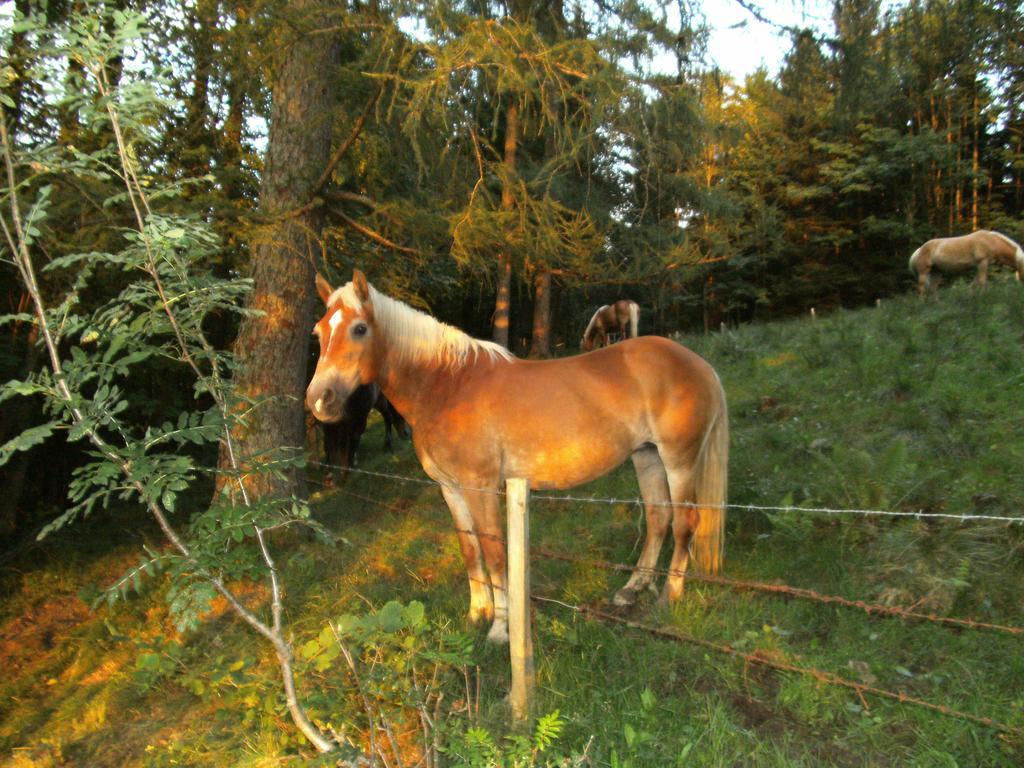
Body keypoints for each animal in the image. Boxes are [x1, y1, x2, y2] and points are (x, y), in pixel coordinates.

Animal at [303, 274, 729, 647]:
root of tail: (700, 365)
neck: (447, 386)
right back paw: (632, 588)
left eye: (359, 328)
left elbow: (494, 555)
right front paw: (476, 615)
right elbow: (470, 549)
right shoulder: (451, 489)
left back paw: (669, 596)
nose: (320, 400)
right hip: (647, 456)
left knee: (686, 522)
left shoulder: (482, 487)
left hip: (678, 459)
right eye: (319, 332)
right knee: (658, 517)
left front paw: (500, 629)